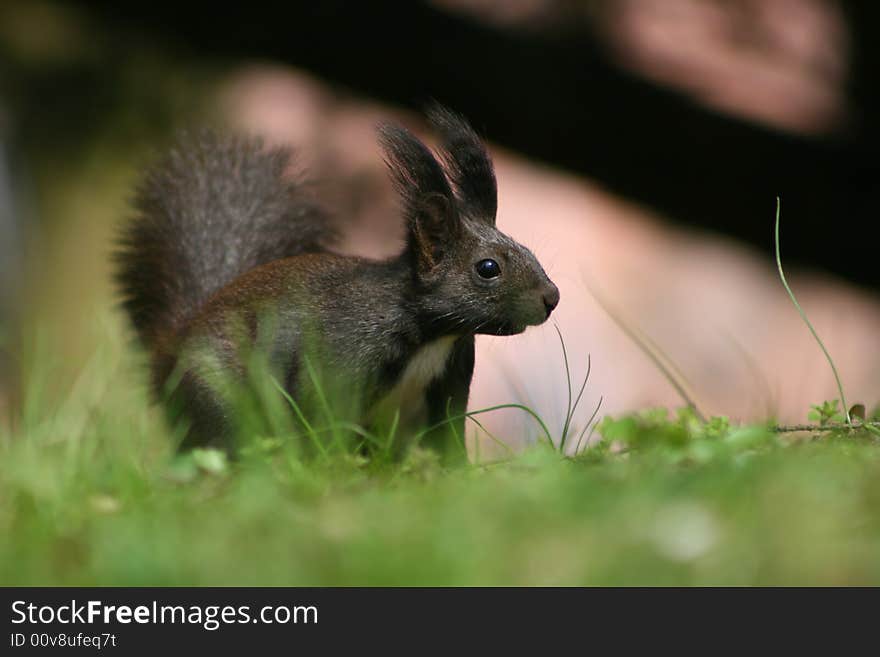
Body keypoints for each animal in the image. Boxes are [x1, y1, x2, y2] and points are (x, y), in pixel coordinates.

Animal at [115, 107, 556, 462]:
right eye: (488, 268)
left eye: (527, 248)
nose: (551, 298)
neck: (432, 335)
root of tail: (171, 347)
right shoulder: (342, 358)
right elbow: (326, 421)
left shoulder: (451, 380)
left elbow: (447, 438)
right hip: (219, 398)